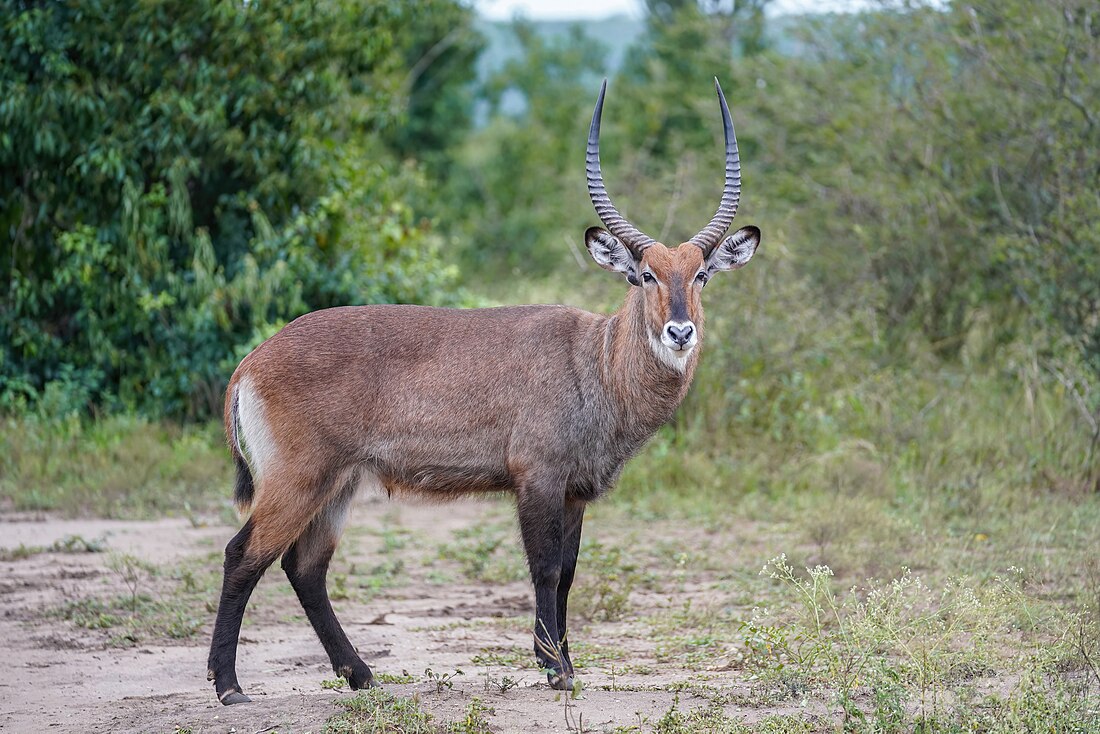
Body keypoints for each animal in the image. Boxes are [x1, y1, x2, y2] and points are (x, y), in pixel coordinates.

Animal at [207, 77, 756, 704]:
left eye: (701, 275)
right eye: (645, 275)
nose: (680, 332)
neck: (594, 361)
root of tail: (251, 361)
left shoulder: (574, 492)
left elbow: (569, 574)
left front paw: (566, 664)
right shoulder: (537, 479)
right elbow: (545, 569)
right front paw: (556, 670)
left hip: (338, 483)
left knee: (305, 568)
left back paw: (361, 675)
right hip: (298, 479)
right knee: (244, 555)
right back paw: (230, 686)